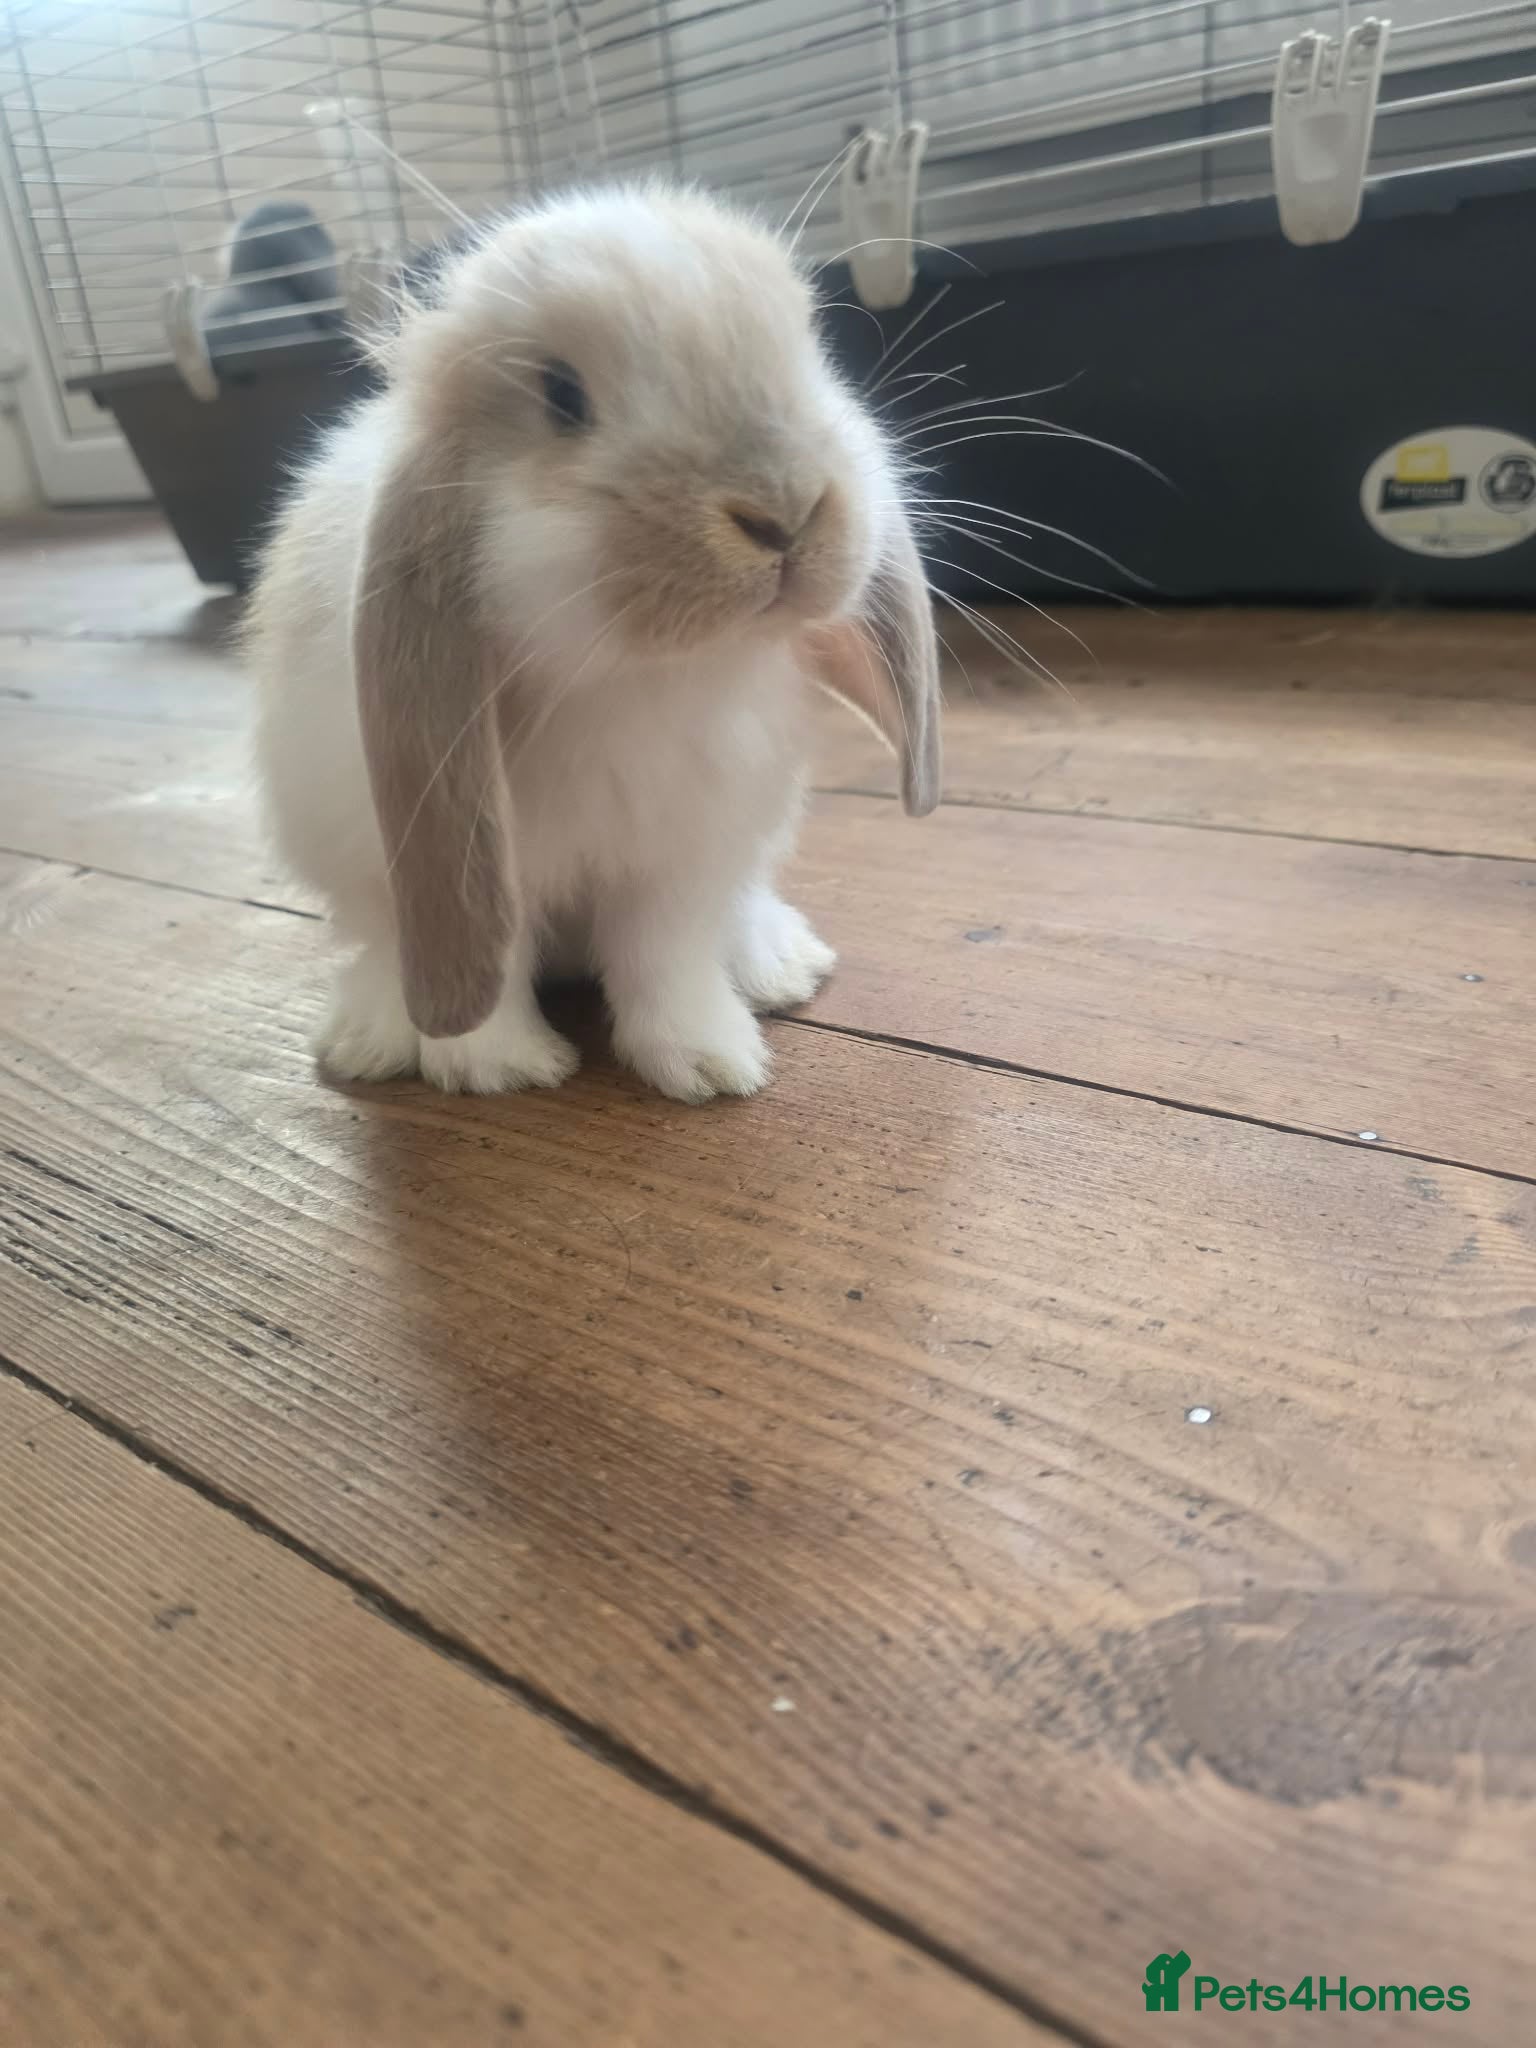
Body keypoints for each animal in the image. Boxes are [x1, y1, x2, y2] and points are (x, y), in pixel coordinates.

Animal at [246, 184, 939, 1103]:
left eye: (811, 351)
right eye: (562, 396)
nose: (786, 512)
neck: (630, 677)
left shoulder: (677, 865)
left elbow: (664, 961)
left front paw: (710, 1066)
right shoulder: (465, 859)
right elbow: (495, 959)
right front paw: (499, 1069)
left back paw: (778, 966)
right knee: (386, 950)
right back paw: (366, 1040)